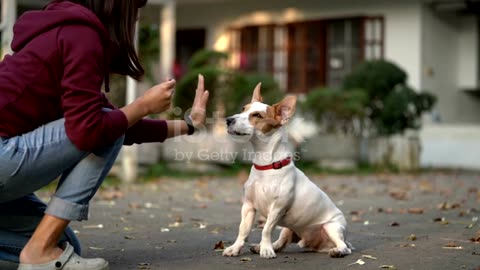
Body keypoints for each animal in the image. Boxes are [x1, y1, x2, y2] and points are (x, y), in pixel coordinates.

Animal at [222, 84, 352, 260]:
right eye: (243, 109)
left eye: (257, 115)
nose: (228, 120)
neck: (266, 165)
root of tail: (315, 244)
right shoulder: (248, 206)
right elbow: (243, 230)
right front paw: (236, 248)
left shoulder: (277, 208)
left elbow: (266, 229)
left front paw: (266, 249)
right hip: (287, 229)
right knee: (281, 243)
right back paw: (262, 246)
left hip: (332, 227)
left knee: (344, 246)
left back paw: (338, 251)